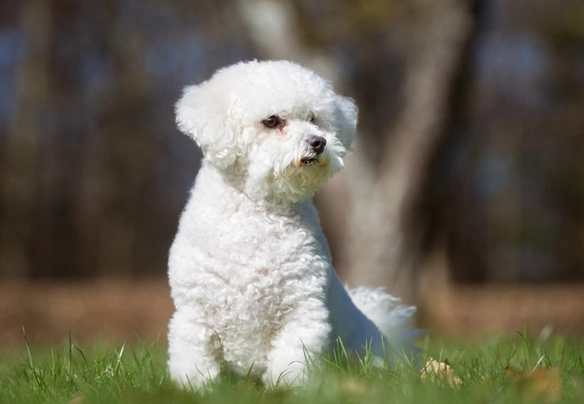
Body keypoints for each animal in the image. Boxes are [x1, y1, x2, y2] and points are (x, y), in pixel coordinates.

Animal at [167, 60, 418, 388]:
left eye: (314, 119)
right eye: (272, 121)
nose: (318, 142)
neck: (260, 212)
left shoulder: (301, 309)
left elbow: (292, 357)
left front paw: (288, 387)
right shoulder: (194, 312)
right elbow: (195, 357)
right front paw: (196, 387)